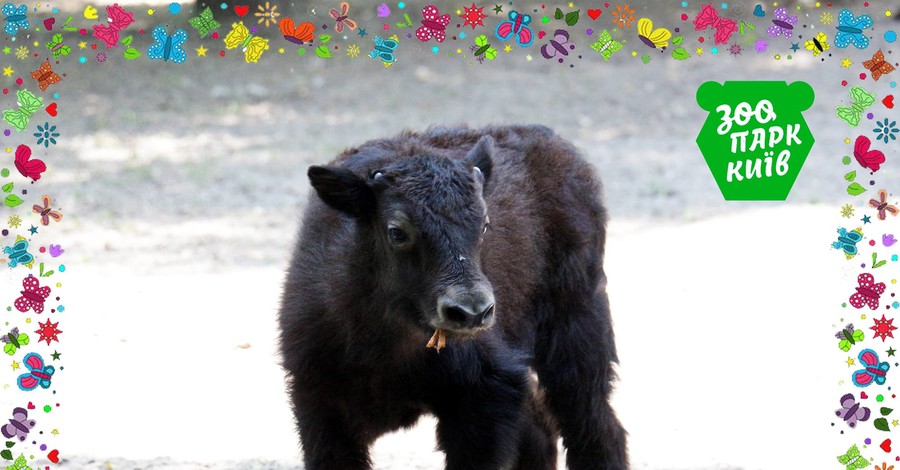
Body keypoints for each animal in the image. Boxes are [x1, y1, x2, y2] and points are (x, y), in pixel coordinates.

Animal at [280, 126, 624, 470]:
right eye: (397, 231)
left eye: (484, 224)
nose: (472, 312)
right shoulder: (320, 406)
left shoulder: (485, 396)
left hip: (576, 338)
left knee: (594, 426)